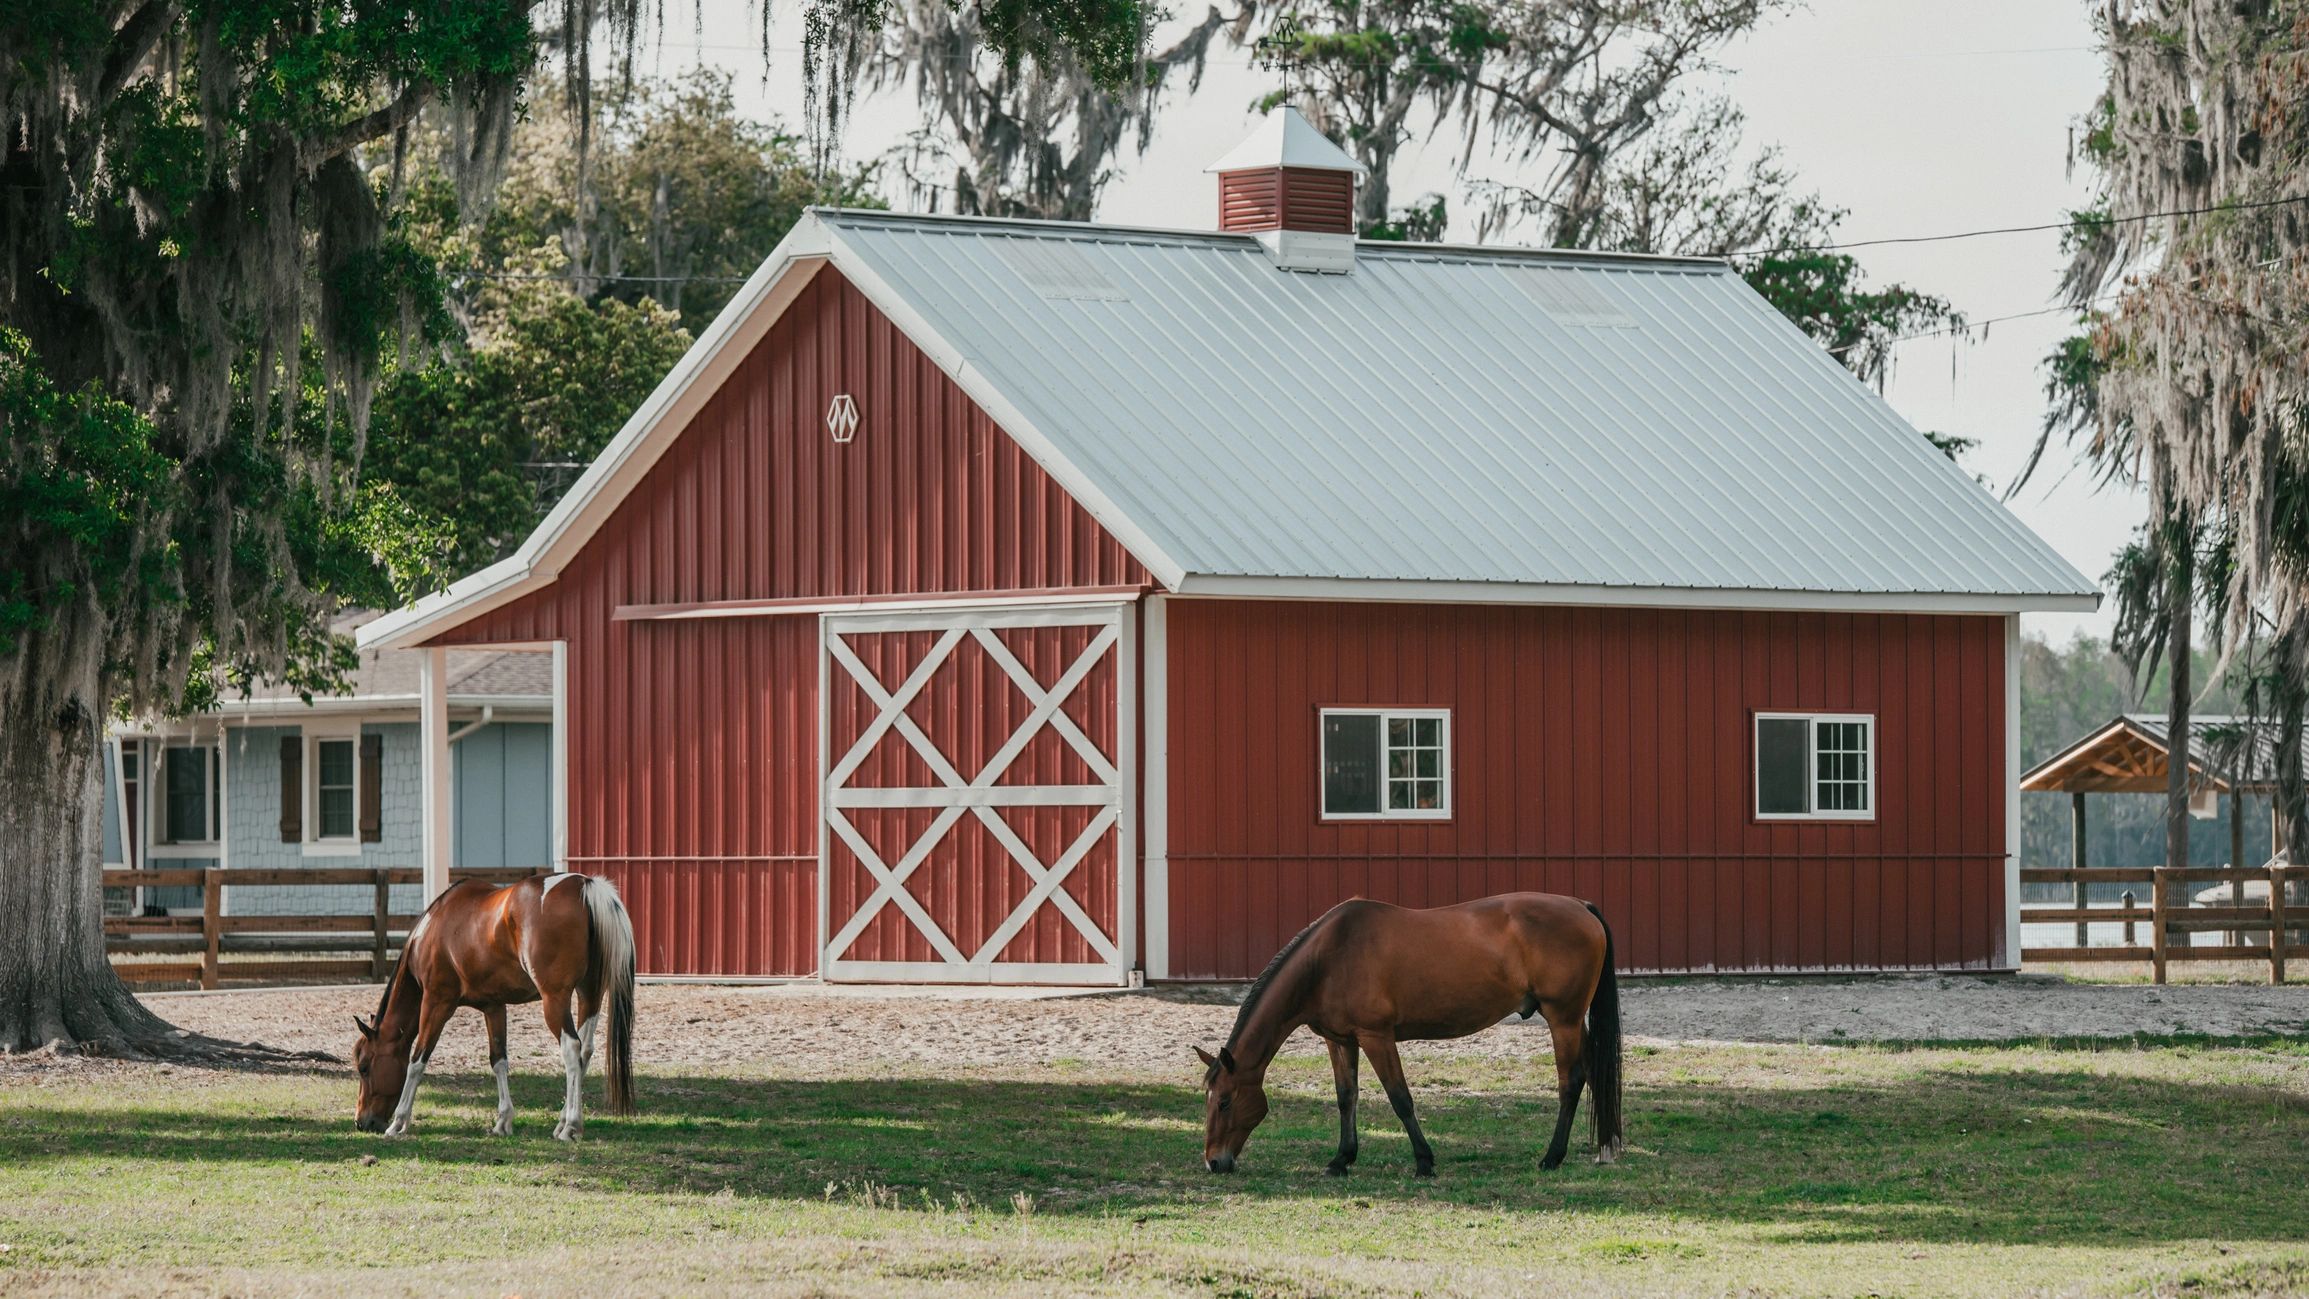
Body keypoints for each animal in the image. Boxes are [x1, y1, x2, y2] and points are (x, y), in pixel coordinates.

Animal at [353, 872, 637, 1140]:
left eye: (364, 1067)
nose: (361, 1122)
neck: (433, 928)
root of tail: (584, 885)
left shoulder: (436, 1002)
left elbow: (417, 1060)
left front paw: (399, 1122)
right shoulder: (494, 1006)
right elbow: (498, 1060)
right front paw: (503, 1121)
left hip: (555, 999)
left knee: (572, 1048)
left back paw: (571, 1126)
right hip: (589, 995)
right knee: (585, 1051)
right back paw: (562, 1121)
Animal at [1193, 892, 1620, 1178]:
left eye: (1225, 1101)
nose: (1214, 1162)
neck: (1329, 958)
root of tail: (1580, 906)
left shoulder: (1376, 1037)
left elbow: (1400, 1098)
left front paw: (1424, 1161)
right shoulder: (1340, 1040)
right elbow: (1346, 1098)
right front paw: (1341, 1159)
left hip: (1563, 1019)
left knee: (1571, 1082)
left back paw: (1552, 1157)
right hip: (1571, 1022)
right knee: (1590, 1074)